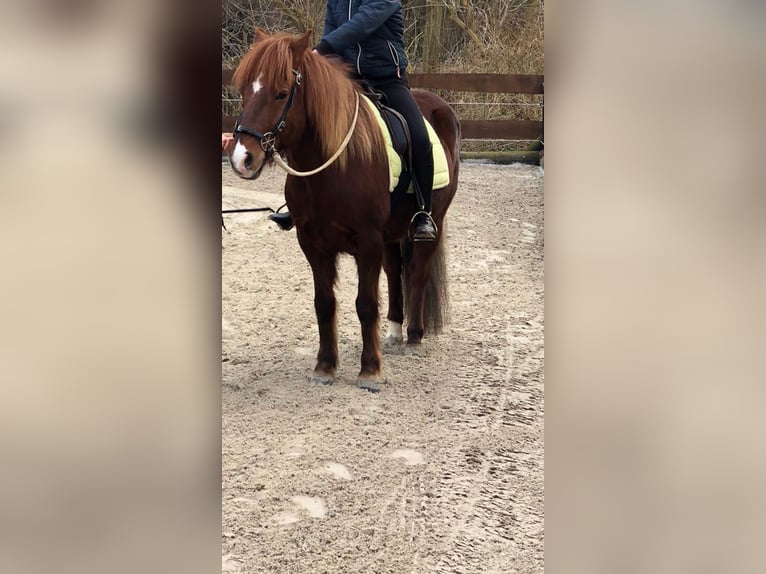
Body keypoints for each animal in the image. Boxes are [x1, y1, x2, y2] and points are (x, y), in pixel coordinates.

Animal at [230, 29, 462, 394]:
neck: (334, 167)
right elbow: (324, 303)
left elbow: (365, 304)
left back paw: (413, 336)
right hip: (391, 235)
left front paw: (370, 371)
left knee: (418, 273)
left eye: (281, 93)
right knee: (395, 272)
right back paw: (394, 331)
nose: (242, 158)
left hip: (429, 223)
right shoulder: (312, 243)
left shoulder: (366, 243)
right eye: (243, 92)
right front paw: (325, 367)